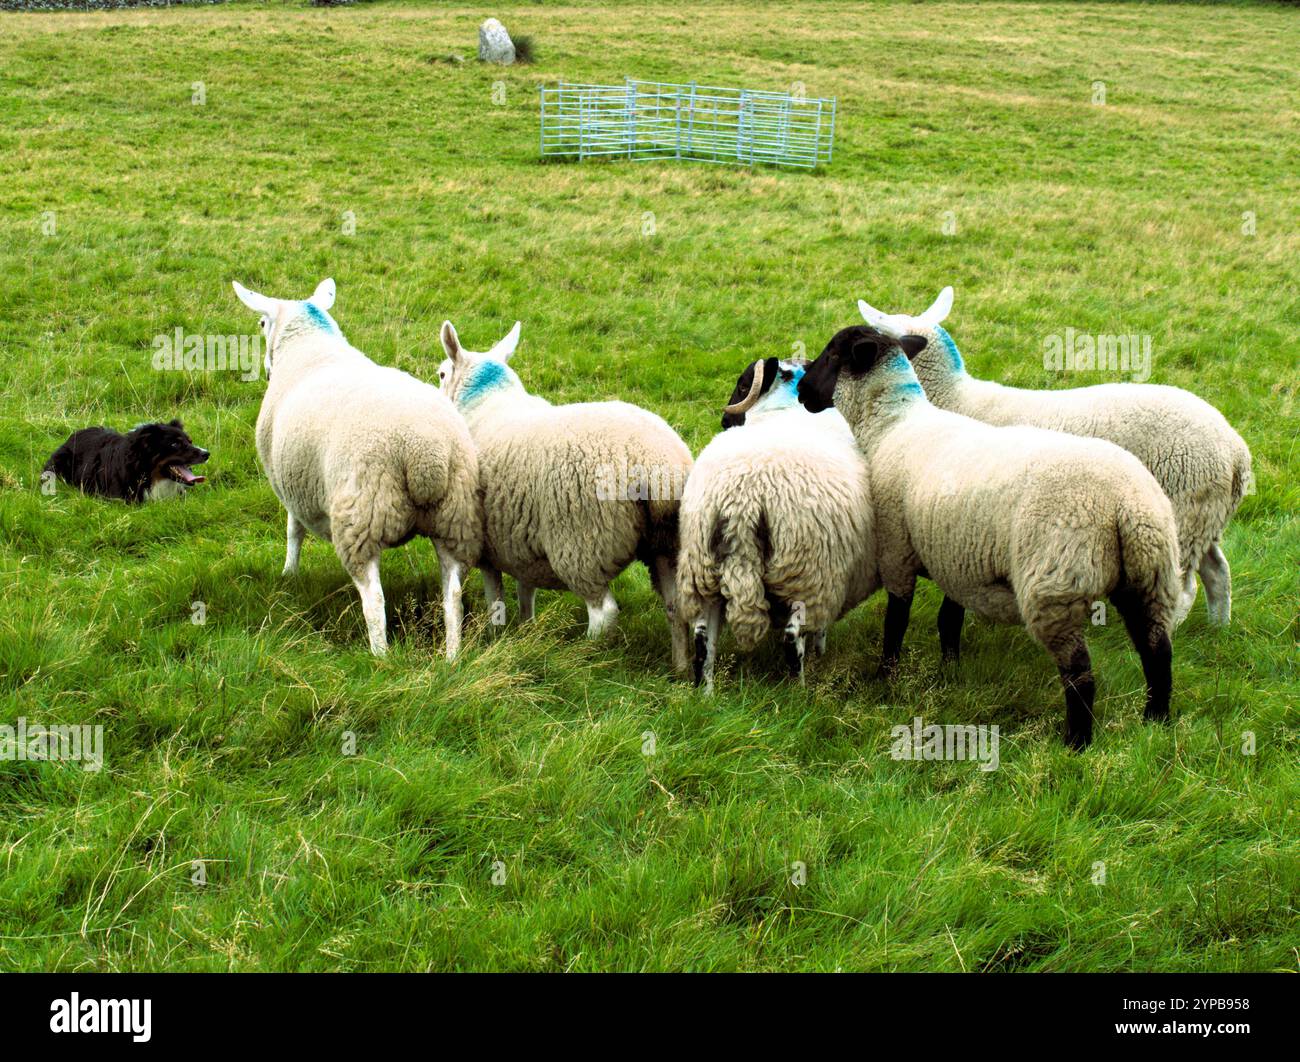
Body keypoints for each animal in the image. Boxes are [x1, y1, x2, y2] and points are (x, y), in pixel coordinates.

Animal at [232, 279, 482, 659]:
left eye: (262, 323)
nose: (267, 370)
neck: (312, 347)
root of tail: (425, 453)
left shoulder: (290, 485)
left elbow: (293, 531)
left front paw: (289, 574)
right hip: (456, 516)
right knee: (453, 595)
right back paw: (452, 656)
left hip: (361, 515)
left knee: (374, 600)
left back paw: (381, 657)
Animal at [436, 320, 694, 670]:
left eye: (441, 374)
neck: (485, 402)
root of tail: (657, 461)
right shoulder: (517, 539)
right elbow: (525, 591)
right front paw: (526, 631)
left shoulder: (488, 546)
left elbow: (495, 598)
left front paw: (496, 634)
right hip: (667, 544)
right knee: (675, 606)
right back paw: (680, 670)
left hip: (583, 541)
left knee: (604, 613)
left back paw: (582, 657)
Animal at [676, 357, 878, 691]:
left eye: (742, 384)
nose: (724, 421)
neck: (784, 407)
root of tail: (743, 499)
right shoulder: (833, 576)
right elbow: (820, 629)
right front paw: (820, 653)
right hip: (806, 571)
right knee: (792, 637)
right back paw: (799, 690)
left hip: (703, 567)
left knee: (703, 638)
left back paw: (706, 693)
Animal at [798, 323, 1183, 749]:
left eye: (833, 354)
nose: (801, 391)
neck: (892, 424)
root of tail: (1127, 504)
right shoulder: (957, 555)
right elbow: (949, 619)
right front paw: (949, 670)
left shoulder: (897, 548)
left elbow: (895, 622)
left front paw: (885, 677)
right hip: (1151, 576)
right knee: (1157, 650)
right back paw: (1156, 721)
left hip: (1055, 585)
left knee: (1080, 672)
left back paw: (1076, 743)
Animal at [858, 287, 1252, 627]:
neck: (954, 397)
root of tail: (1237, 453)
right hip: (1205, 517)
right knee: (1218, 572)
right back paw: (1220, 630)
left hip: (1183, 512)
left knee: (1185, 589)